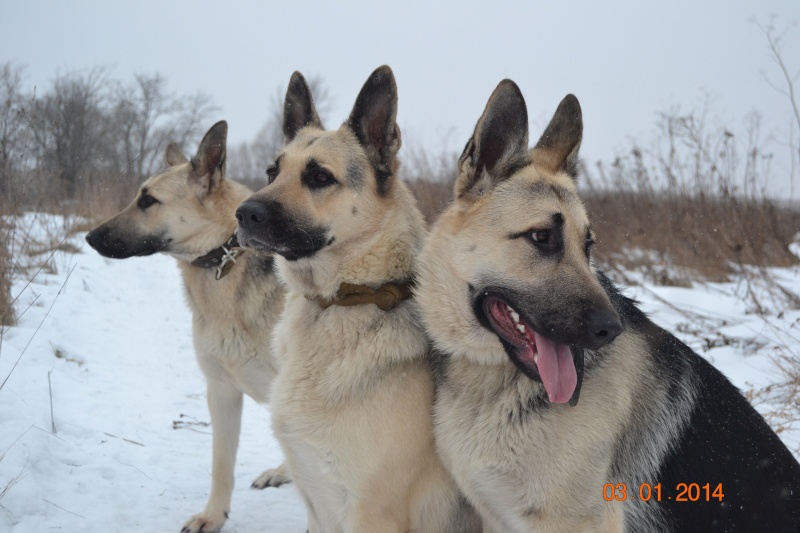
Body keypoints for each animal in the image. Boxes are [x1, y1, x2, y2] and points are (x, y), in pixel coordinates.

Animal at [86, 121, 286, 532]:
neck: (225, 257)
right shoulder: (221, 391)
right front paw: (213, 516)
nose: (89, 237)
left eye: (148, 201)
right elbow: (221, 465)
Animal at [234, 66, 478, 532]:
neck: (336, 302)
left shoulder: (371, 512)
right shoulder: (317, 505)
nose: (243, 214)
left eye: (319, 177)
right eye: (272, 172)